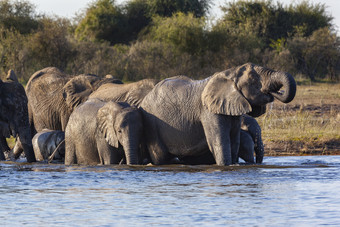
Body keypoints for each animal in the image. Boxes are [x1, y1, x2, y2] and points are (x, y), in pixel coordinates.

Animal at [139, 63, 296, 166]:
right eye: (253, 80)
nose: (275, 92)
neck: (230, 73)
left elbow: (234, 141)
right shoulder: (208, 111)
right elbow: (219, 142)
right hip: (152, 125)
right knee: (160, 156)